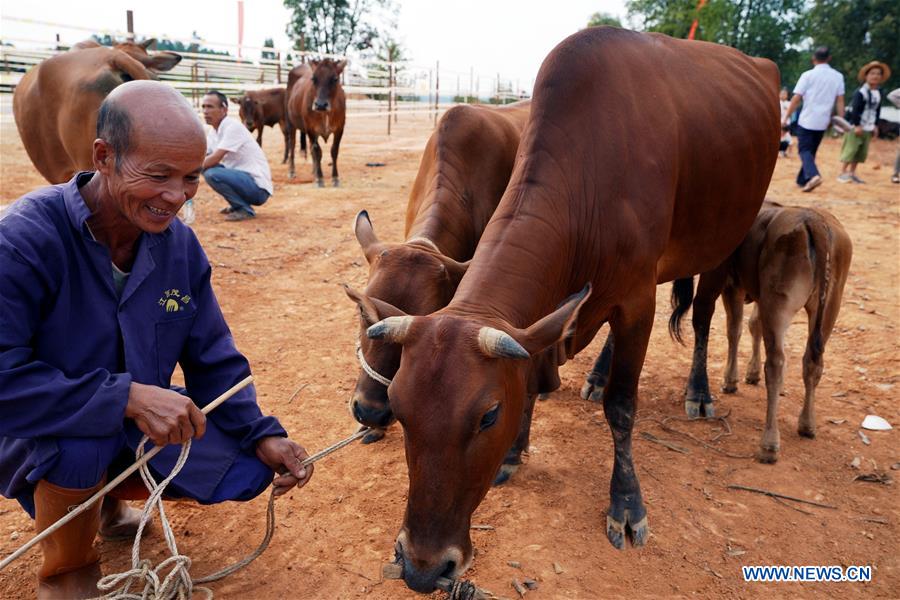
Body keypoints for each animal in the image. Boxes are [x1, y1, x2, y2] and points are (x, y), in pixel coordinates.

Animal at [672, 202, 856, 464]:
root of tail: (815, 222)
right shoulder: (757, 296)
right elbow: (753, 325)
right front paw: (751, 373)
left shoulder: (733, 287)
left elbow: (735, 329)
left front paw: (731, 380)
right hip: (830, 307)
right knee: (813, 361)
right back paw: (807, 424)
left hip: (778, 305)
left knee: (776, 363)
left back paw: (769, 444)